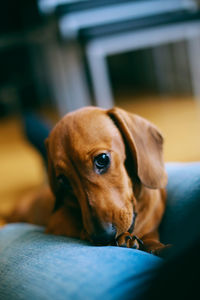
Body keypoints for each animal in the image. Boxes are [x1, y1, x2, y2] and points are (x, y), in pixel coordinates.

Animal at [8, 106, 170, 254]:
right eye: (63, 180)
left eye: (102, 159)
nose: (103, 237)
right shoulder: (56, 222)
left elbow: (151, 239)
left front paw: (159, 248)